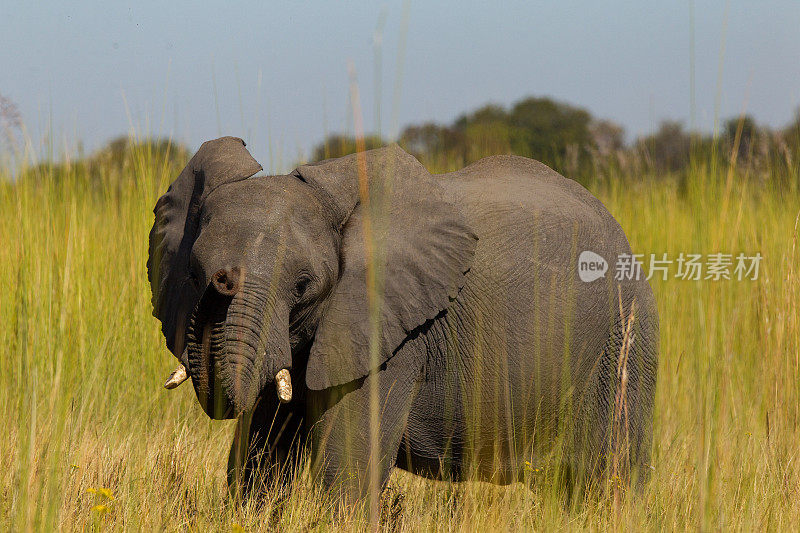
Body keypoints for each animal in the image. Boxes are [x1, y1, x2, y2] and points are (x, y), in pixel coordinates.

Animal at [147, 135, 660, 500]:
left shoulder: (393, 336)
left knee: (609, 478)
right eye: (192, 273)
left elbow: (347, 469)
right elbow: (255, 463)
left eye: (303, 286)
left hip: (627, 337)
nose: (224, 280)